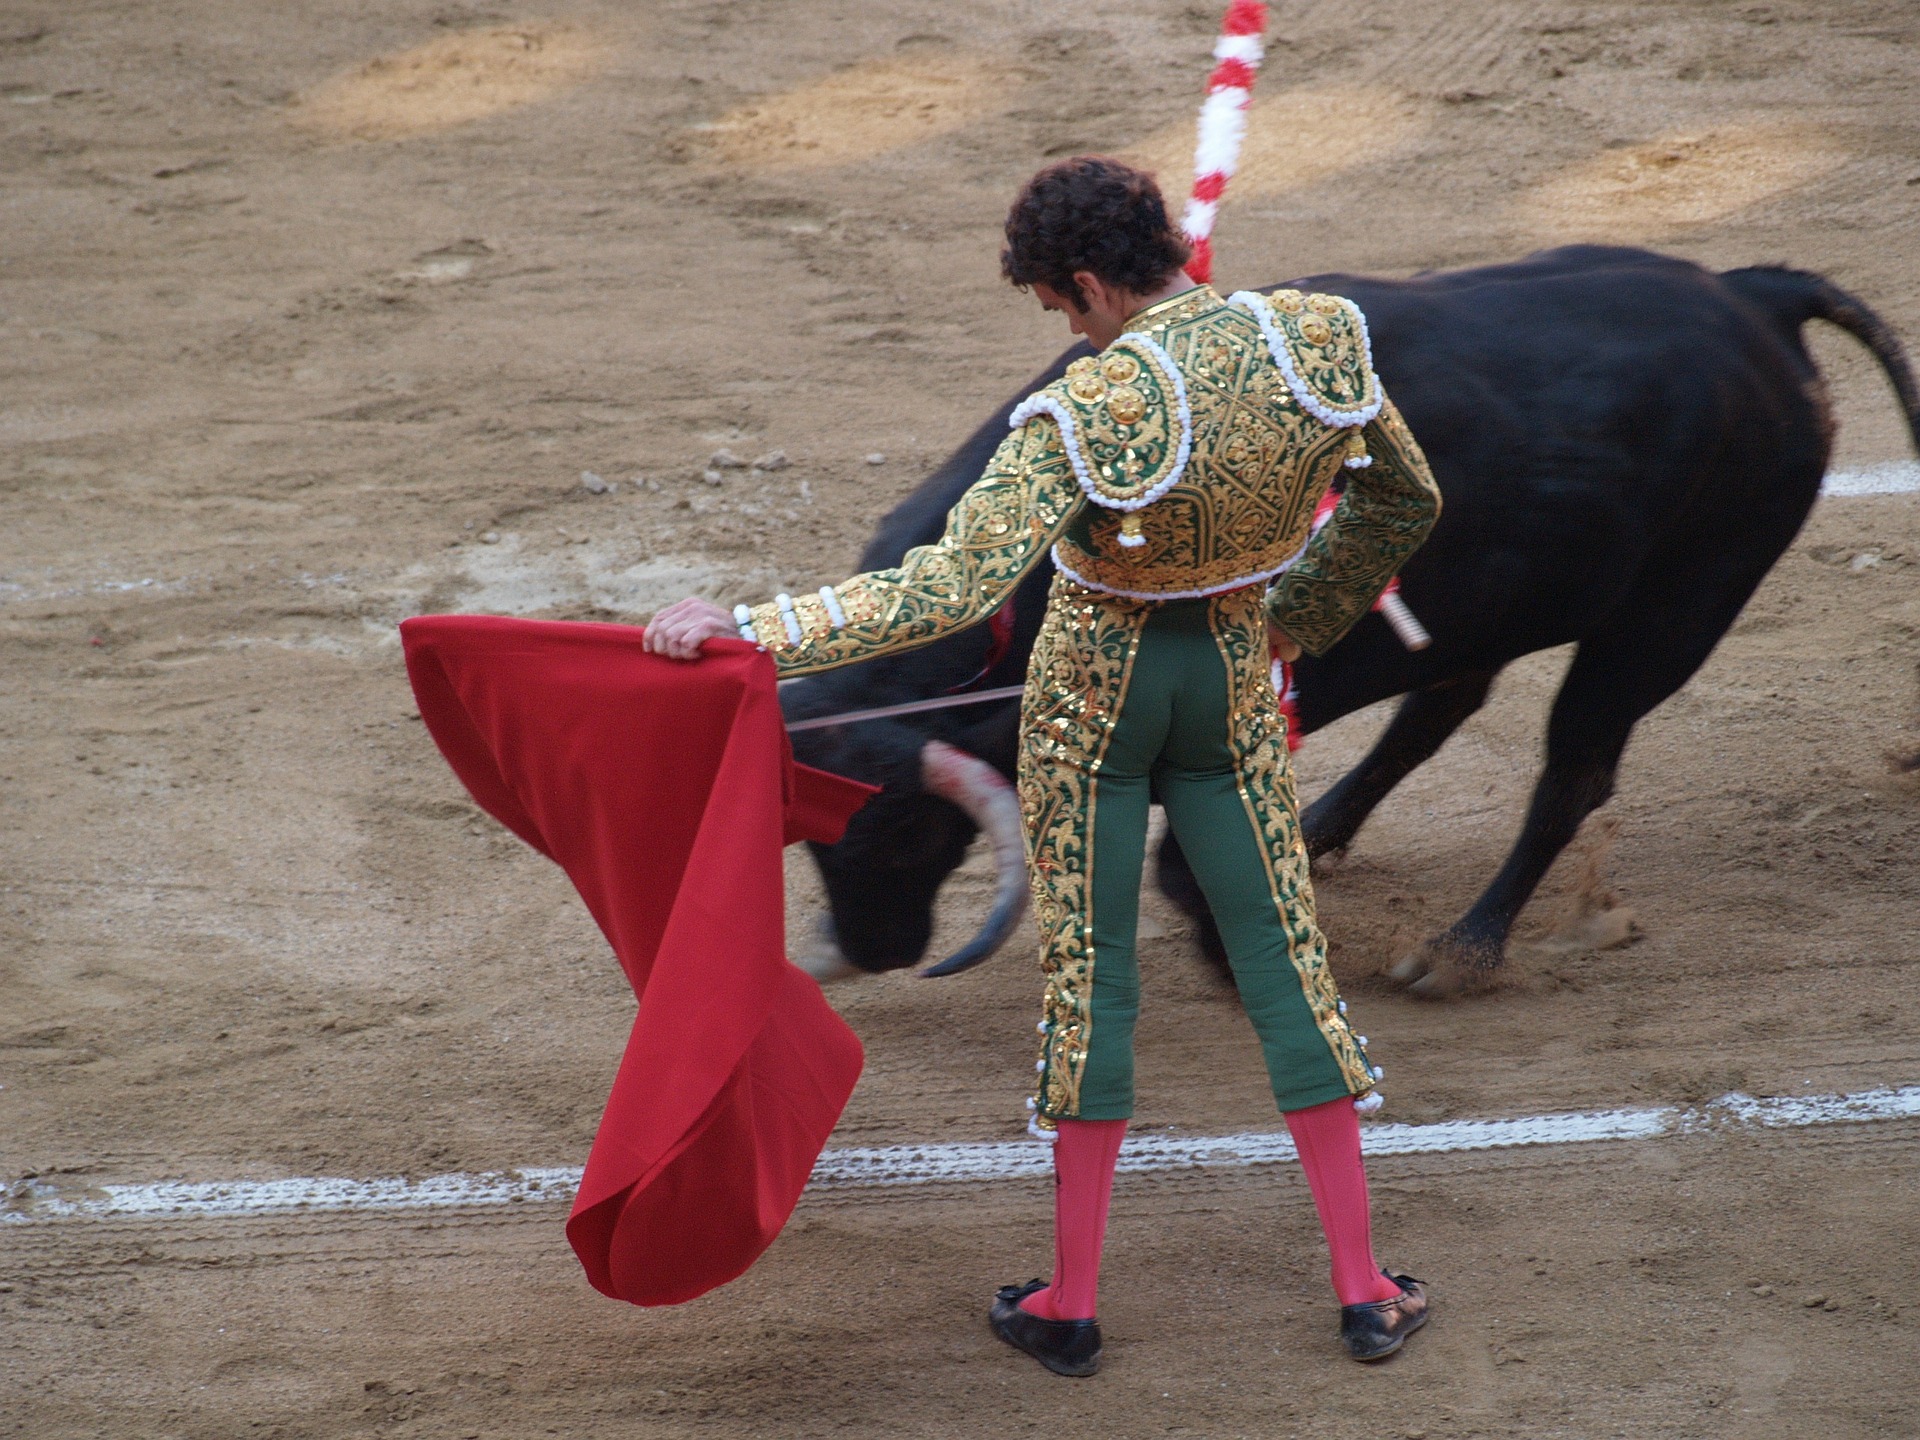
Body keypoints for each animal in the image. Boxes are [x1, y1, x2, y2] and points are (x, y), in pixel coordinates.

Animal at [771, 245, 1912, 990]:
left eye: (906, 824)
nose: (865, 951)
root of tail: (1754, 294)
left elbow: (1191, 850)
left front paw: (1238, 946)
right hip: (1507, 610)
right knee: (1438, 716)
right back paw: (1327, 836)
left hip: (1670, 618)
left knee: (1573, 766)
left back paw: (1459, 952)